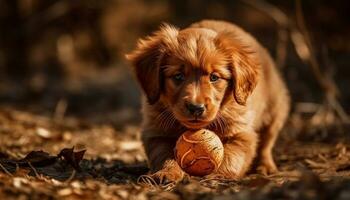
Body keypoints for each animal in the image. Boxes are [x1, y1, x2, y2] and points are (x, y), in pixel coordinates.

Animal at [126, 19, 290, 183]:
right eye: (178, 76)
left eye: (214, 77)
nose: (196, 107)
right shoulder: (157, 131)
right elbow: (164, 155)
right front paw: (166, 172)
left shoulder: (240, 133)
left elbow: (232, 157)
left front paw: (219, 175)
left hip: (274, 112)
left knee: (266, 144)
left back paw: (265, 166)